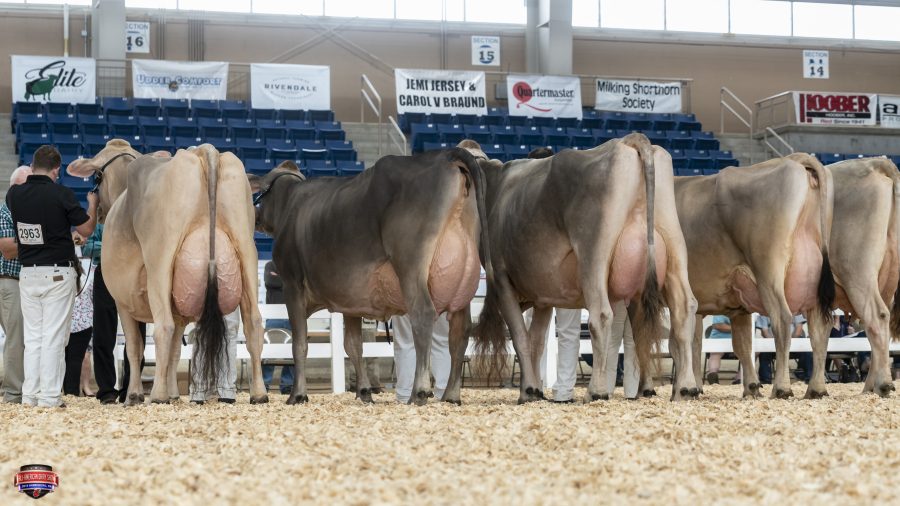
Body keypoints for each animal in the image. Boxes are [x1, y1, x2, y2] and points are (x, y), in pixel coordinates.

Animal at [67, 142, 267, 405]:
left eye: (97, 176)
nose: (97, 211)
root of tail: (204, 150)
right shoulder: (179, 308)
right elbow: (175, 351)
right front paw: (174, 394)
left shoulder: (123, 301)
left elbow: (135, 347)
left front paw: (135, 395)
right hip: (246, 251)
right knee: (254, 322)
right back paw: (259, 393)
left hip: (160, 259)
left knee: (163, 328)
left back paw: (157, 395)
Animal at [249, 150, 490, 406]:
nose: (255, 216)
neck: (290, 204)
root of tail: (445, 155)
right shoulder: (349, 300)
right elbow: (353, 345)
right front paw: (364, 392)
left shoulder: (292, 283)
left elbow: (300, 343)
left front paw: (297, 395)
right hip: (463, 282)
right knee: (460, 332)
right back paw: (451, 395)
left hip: (411, 266)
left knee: (423, 315)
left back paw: (419, 392)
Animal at [464, 134, 700, 403]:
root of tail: (628, 141)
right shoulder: (544, 295)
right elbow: (536, 341)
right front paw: (534, 389)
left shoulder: (503, 279)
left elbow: (521, 338)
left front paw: (529, 390)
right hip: (674, 249)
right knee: (684, 309)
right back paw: (685, 388)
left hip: (593, 253)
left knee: (601, 315)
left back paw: (596, 390)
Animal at [668, 153, 834, 399]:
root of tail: (794, 161)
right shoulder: (734, 307)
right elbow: (736, 345)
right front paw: (749, 387)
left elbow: (676, 342)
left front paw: (680, 390)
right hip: (812, 279)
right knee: (819, 326)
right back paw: (816, 388)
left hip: (768, 271)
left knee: (782, 319)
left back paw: (782, 387)